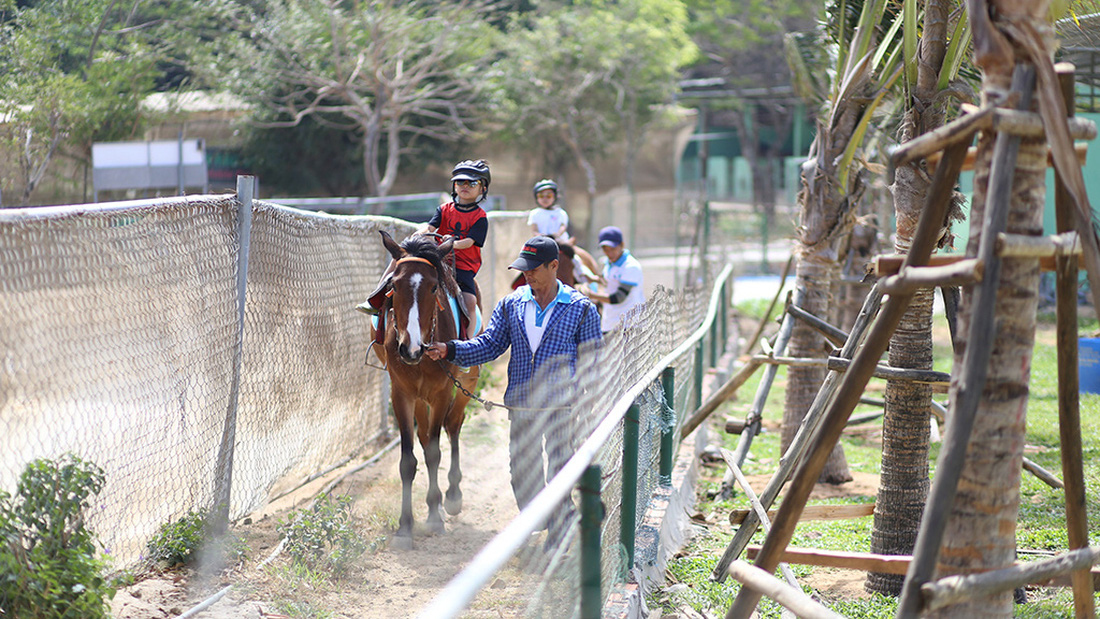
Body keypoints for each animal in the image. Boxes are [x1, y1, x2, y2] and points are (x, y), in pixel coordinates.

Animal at [376, 229, 479, 549]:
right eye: (393, 286)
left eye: (434, 288)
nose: (410, 348)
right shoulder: (401, 394)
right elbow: (408, 461)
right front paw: (405, 527)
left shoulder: (443, 391)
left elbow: (434, 453)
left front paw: (434, 515)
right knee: (424, 435)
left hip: (466, 383)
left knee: (454, 424)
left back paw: (453, 497)